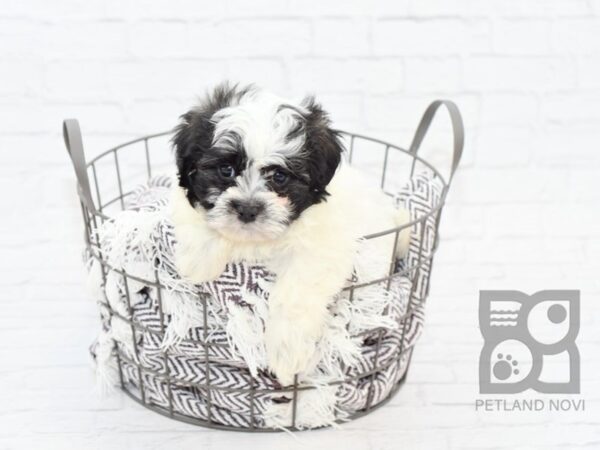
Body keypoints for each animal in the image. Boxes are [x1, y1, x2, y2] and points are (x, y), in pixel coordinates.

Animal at [171, 85, 410, 386]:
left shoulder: (321, 248)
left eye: (279, 177)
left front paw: (287, 352)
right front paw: (199, 261)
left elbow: (297, 292)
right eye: (226, 170)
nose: (248, 209)